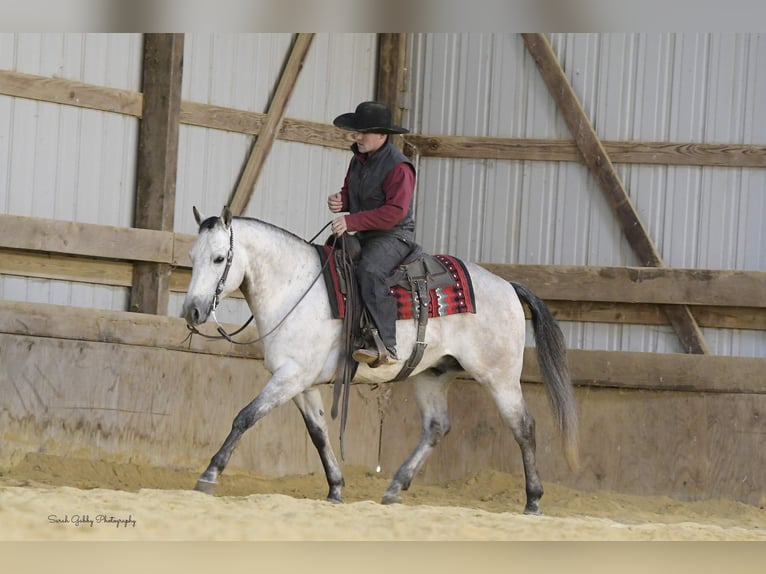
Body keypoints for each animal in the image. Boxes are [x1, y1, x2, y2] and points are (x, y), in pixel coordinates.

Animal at [183, 205, 580, 516]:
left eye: (218, 258)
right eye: (192, 257)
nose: (192, 310)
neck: (295, 288)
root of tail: (508, 286)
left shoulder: (290, 376)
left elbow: (245, 417)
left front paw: (210, 474)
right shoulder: (300, 382)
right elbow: (319, 434)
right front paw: (336, 488)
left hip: (499, 377)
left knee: (524, 427)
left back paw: (533, 500)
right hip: (433, 375)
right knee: (437, 427)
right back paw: (394, 488)